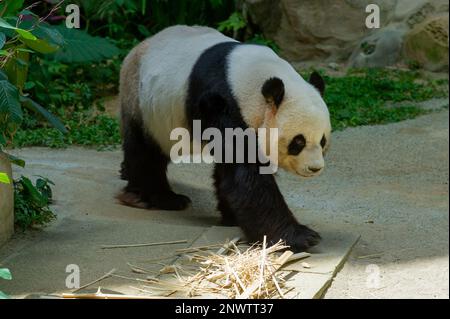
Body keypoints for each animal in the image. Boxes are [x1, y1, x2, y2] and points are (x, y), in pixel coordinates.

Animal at [118, 25, 332, 252]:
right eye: (298, 142)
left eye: (322, 141)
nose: (315, 168)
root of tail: (136, 49)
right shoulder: (221, 103)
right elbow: (245, 173)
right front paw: (300, 237)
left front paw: (232, 216)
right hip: (142, 103)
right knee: (145, 151)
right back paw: (158, 198)